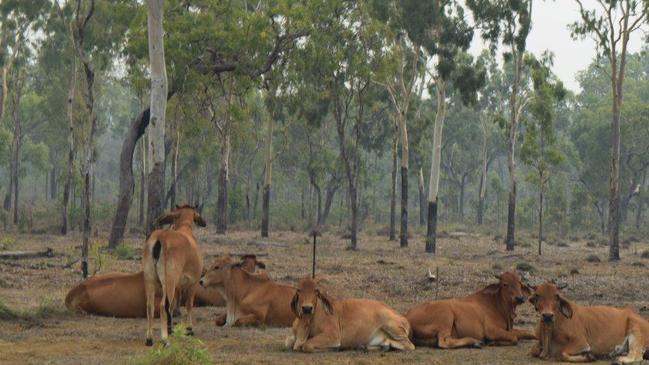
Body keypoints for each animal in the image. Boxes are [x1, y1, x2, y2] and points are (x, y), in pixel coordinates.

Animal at [144, 205, 205, 344]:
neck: (185, 229)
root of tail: (160, 237)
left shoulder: (177, 286)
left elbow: (172, 306)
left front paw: (170, 329)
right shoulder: (193, 283)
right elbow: (188, 305)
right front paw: (190, 329)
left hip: (150, 279)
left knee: (150, 306)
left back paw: (149, 338)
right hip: (169, 281)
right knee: (162, 306)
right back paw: (164, 339)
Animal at [284, 278, 416, 352]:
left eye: (316, 290)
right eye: (298, 290)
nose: (307, 308)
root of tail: (404, 319)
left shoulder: (333, 336)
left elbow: (307, 345)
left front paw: (334, 348)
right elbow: (288, 343)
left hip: (391, 325)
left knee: (409, 345)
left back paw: (386, 344)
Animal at [404, 270, 536, 346]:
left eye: (519, 283)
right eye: (505, 284)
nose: (520, 298)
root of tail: (407, 317)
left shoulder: (508, 329)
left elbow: (530, 333)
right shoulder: (491, 330)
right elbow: (514, 338)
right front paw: (493, 342)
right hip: (446, 316)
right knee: (444, 342)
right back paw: (476, 342)